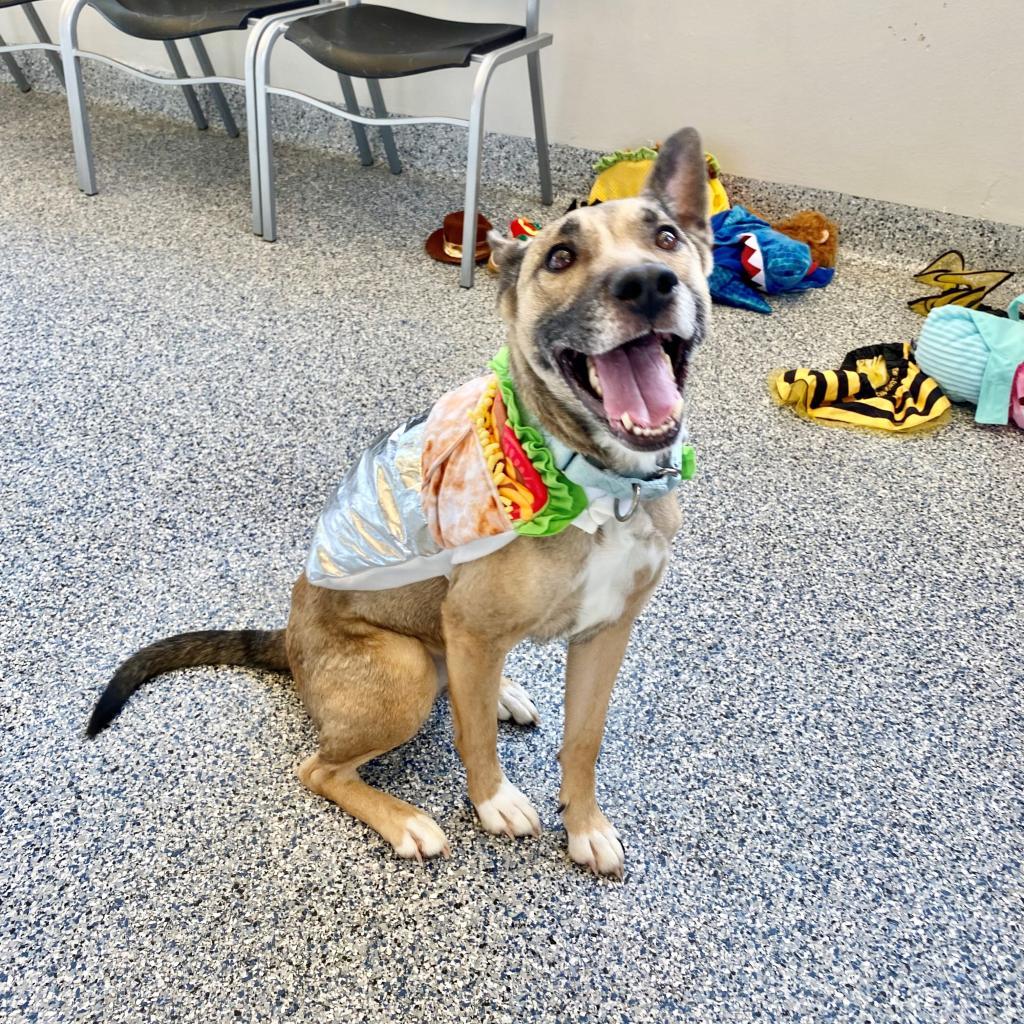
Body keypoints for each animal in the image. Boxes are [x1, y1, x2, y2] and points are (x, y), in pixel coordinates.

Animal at [88, 125, 712, 880]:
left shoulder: (606, 632)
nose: (648, 284)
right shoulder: (471, 626)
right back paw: (407, 819)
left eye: (666, 237)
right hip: (405, 669)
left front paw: (585, 825)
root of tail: (289, 641)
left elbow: (583, 741)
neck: (598, 485)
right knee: (322, 768)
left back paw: (503, 693)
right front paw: (493, 801)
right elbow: (476, 742)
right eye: (561, 257)